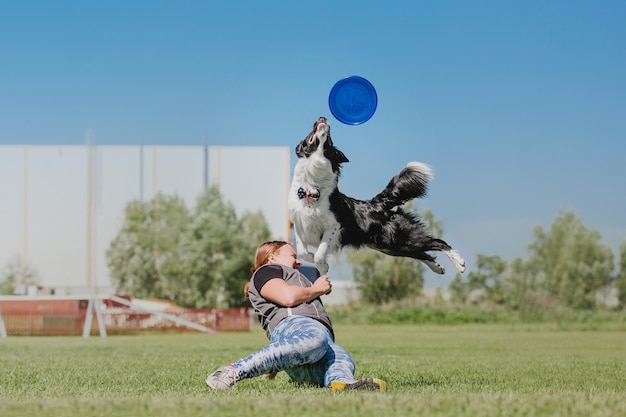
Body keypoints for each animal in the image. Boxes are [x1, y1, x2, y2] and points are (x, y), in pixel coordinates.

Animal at [288, 115, 464, 274]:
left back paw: (460, 262)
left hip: (401, 237)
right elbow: (303, 252)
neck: (310, 188)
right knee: (423, 253)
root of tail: (378, 203)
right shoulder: (300, 225)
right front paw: (313, 259)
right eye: (308, 137)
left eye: (329, 141)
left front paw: (322, 266)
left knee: (438, 242)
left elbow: (320, 252)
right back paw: (439, 268)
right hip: (390, 246)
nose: (322, 117)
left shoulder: (335, 226)